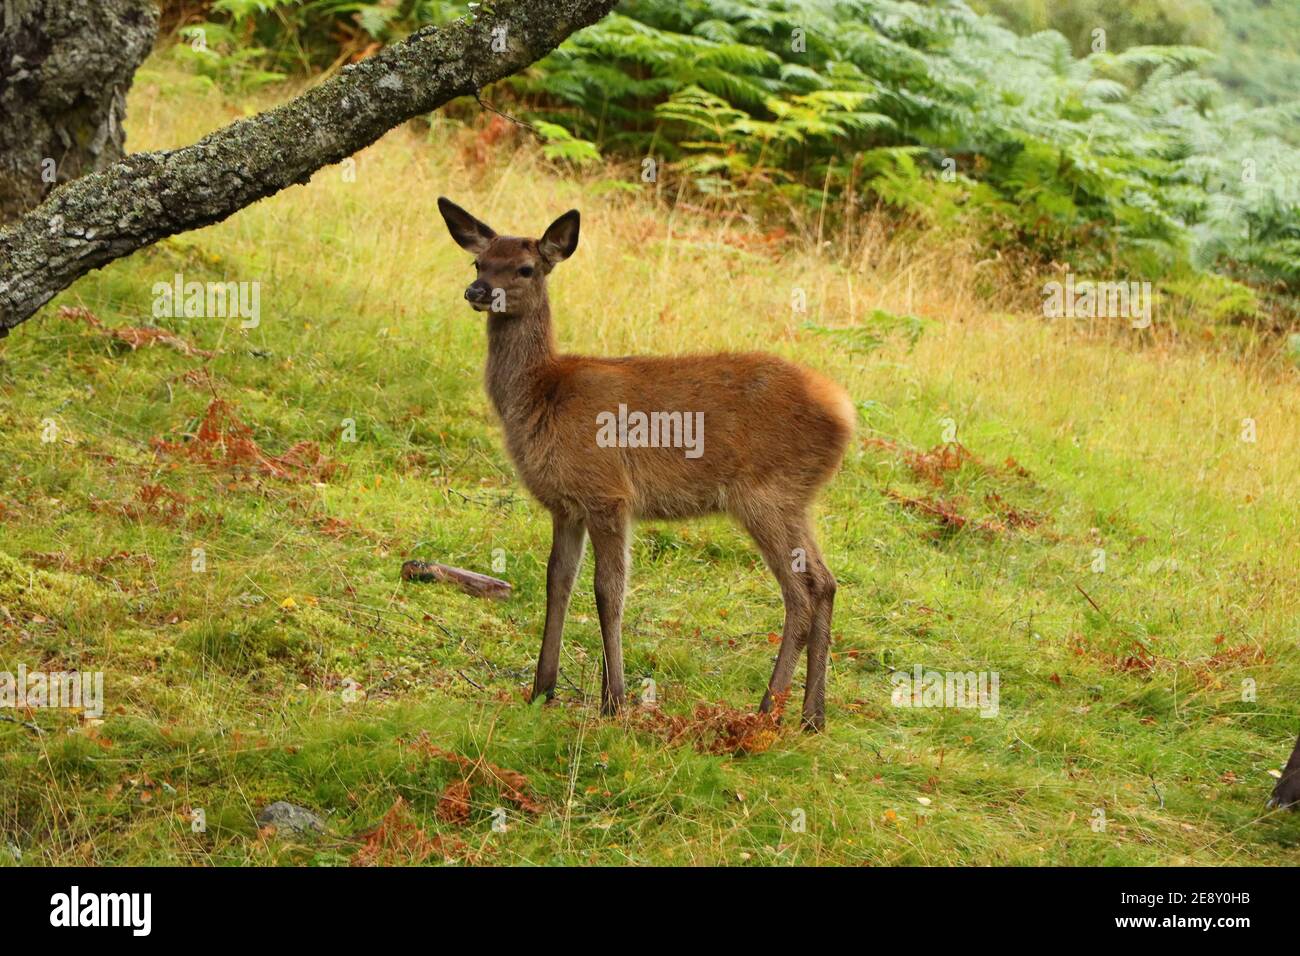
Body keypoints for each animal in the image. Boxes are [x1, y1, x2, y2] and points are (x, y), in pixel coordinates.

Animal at [436, 197, 855, 730]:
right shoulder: (566, 505)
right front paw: (541, 689)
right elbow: (558, 583)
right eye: (479, 261)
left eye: (525, 268)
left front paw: (613, 700)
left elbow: (608, 591)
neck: (542, 394)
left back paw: (765, 710)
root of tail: (844, 412)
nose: (476, 291)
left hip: (766, 493)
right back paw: (811, 716)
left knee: (800, 590)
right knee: (825, 582)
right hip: (795, 499)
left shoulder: (608, 493)